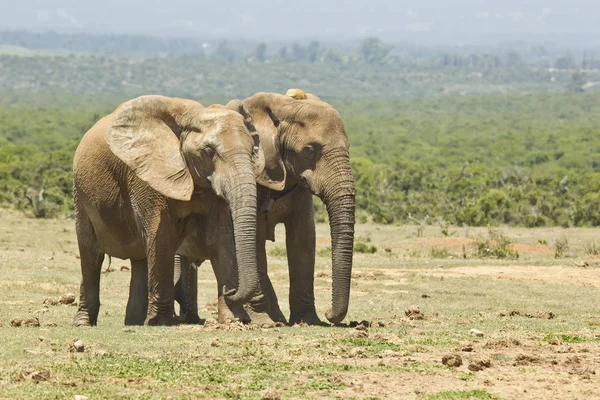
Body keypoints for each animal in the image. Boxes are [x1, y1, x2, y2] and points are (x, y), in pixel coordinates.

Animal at [71, 95, 282, 326]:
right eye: (208, 152)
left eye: (253, 150)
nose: (230, 291)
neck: (193, 116)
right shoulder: (148, 176)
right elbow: (161, 236)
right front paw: (160, 322)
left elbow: (221, 238)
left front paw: (233, 320)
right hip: (80, 193)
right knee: (91, 254)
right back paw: (83, 323)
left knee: (139, 259)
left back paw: (134, 322)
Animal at [175, 89, 356, 326]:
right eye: (310, 151)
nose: (330, 315)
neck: (283, 106)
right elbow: (256, 239)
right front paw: (266, 321)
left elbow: (304, 237)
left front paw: (308, 321)